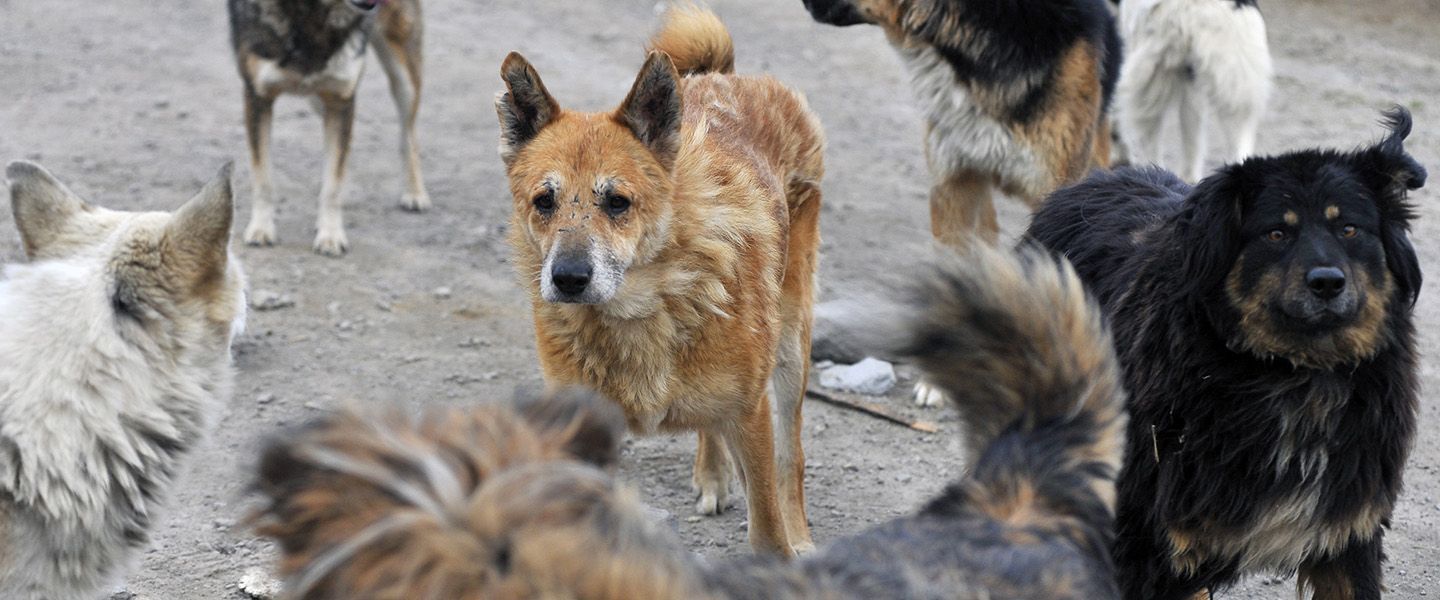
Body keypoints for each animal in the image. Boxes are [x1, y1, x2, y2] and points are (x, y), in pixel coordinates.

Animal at [495, 5, 823, 555]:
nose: (567, 279)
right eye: (544, 201)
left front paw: (785, 547)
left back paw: (801, 535)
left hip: (791, 347)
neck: (647, 309)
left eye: (617, 202)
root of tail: (724, 76)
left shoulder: (750, 414)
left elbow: (767, 527)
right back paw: (712, 473)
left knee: (791, 455)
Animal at [1031, 108, 1422, 598]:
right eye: (1276, 233)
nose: (1328, 283)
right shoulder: (1148, 539)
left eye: (1349, 228)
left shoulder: (1348, 531)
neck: (1295, 375)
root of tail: (1085, 184)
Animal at [1111, 0, 1272, 181]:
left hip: (1151, 79)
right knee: (1238, 146)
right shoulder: (1191, 80)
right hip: (1235, 84)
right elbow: (1192, 135)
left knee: (1149, 146)